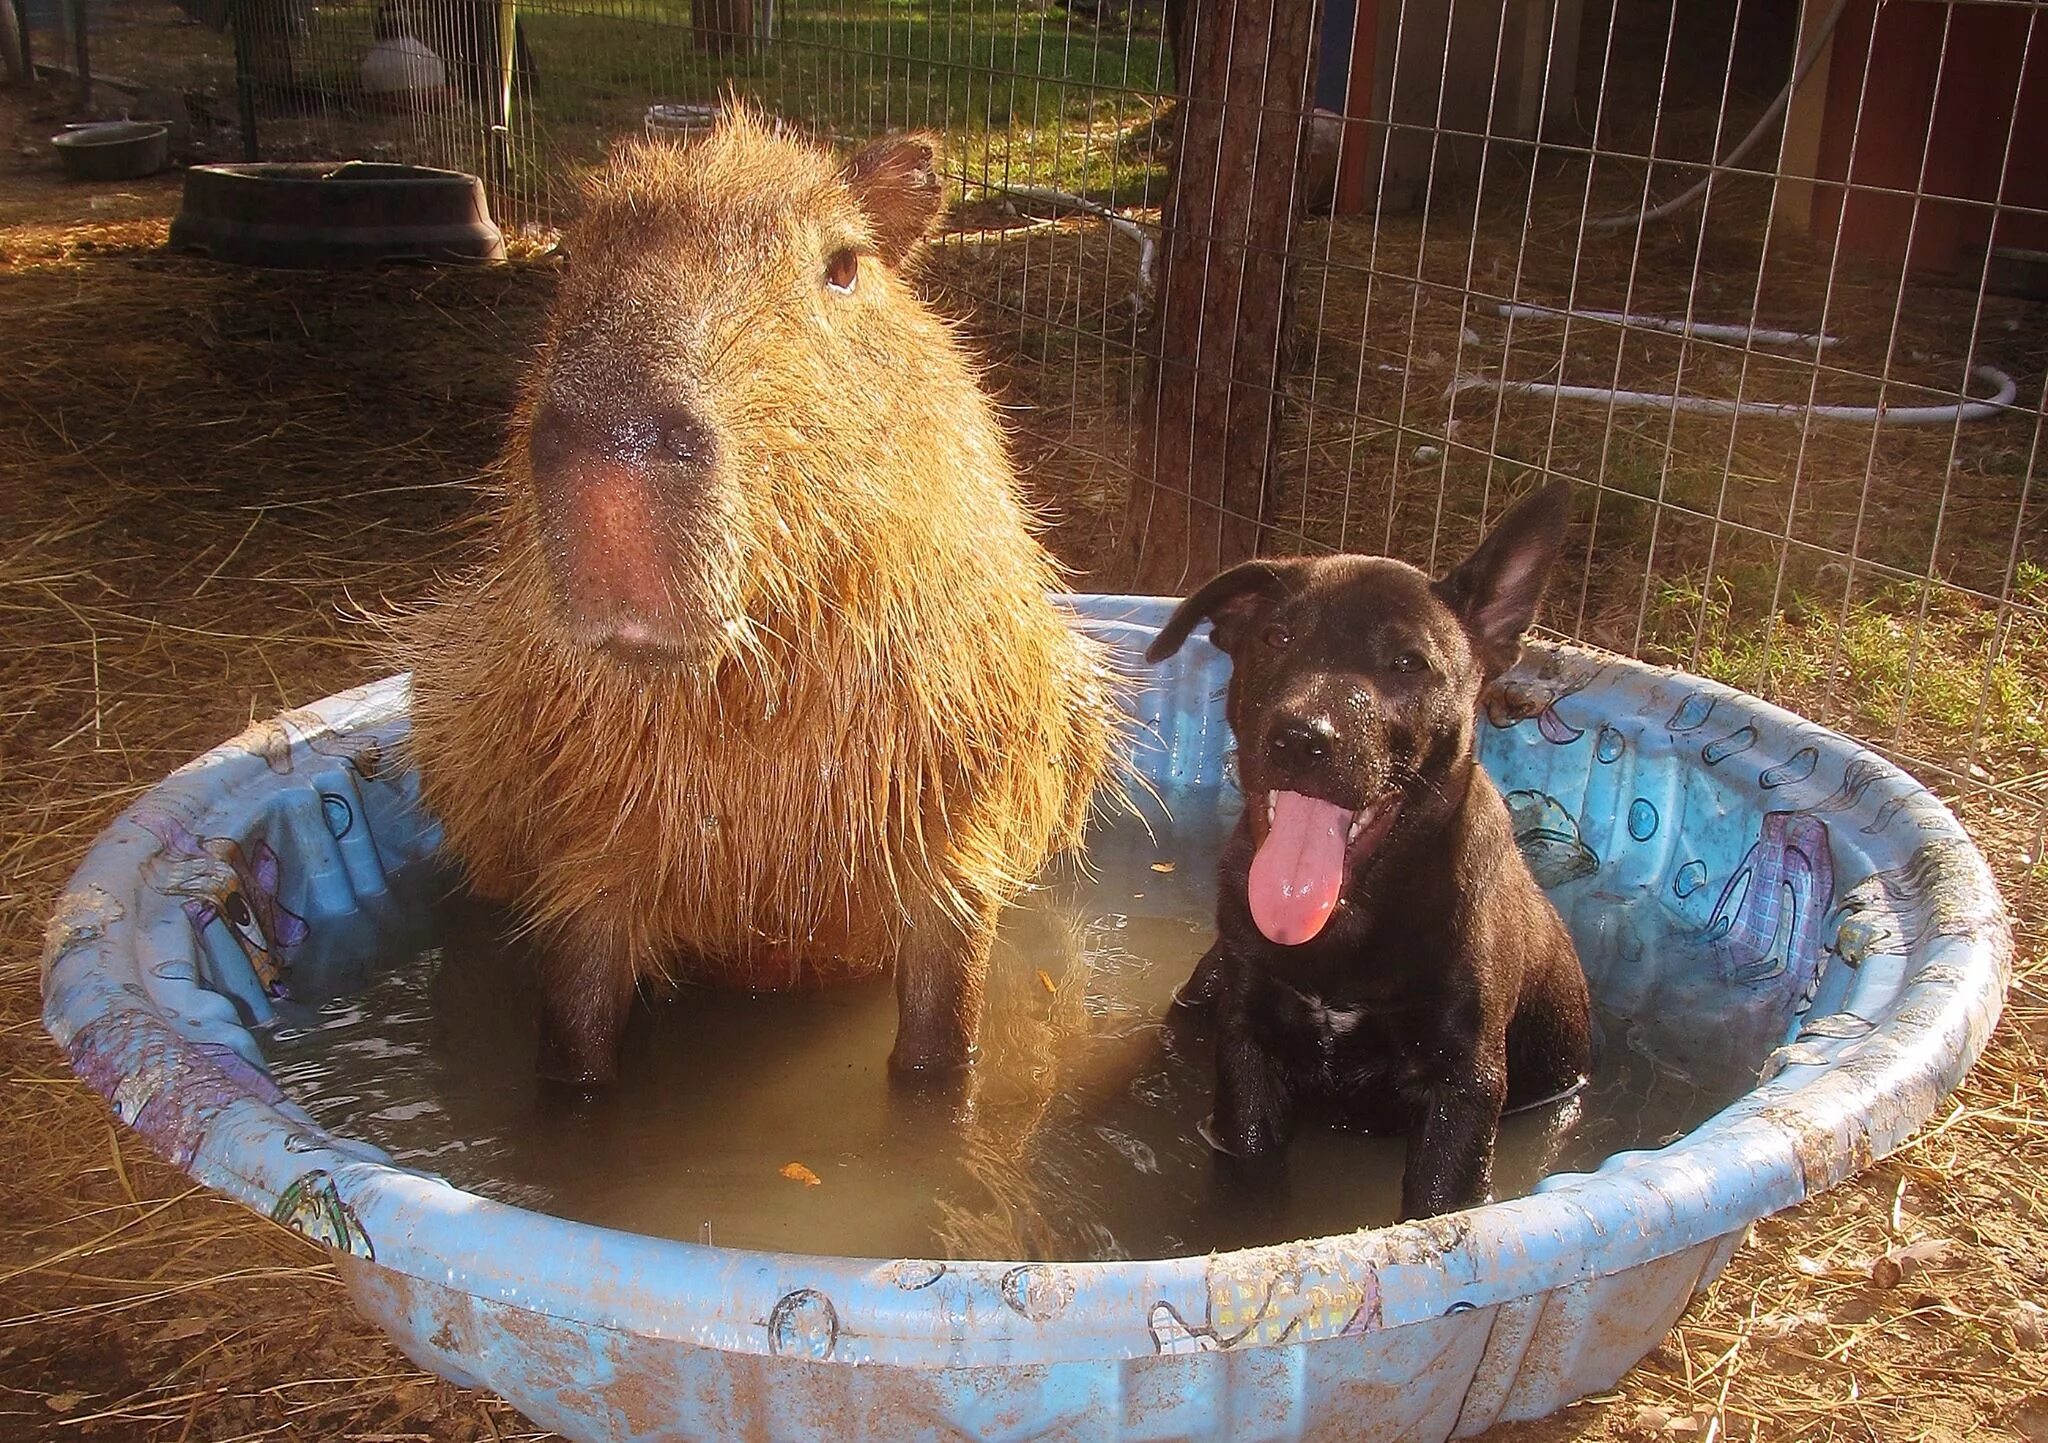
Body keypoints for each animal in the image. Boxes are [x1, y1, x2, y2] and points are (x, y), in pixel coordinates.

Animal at [1146, 483, 1589, 1211]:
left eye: (1409, 663)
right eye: (1276, 637)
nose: (1300, 738)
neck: (1344, 923)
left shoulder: (1464, 1087)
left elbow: (1434, 1206)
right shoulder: (1248, 1048)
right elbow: (1249, 1175)